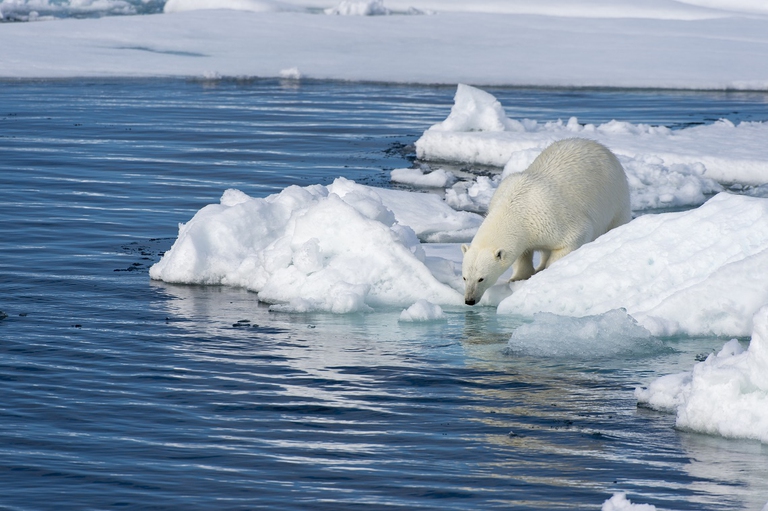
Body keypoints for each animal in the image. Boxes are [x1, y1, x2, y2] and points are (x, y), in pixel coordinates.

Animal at [462, 138, 631, 305]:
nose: (469, 300)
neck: (515, 207)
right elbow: (522, 253)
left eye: (481, 278)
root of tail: (599, 145)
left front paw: (547, 273)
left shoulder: (552, 216)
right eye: (464, 277)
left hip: (615, 195)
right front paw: (517, 277)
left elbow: (574, 238)